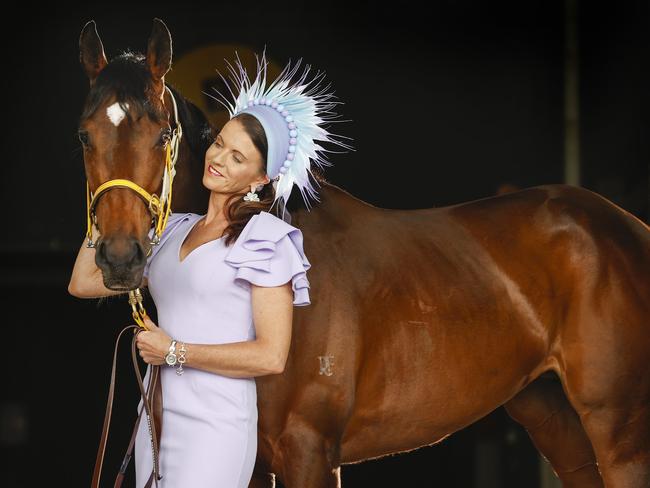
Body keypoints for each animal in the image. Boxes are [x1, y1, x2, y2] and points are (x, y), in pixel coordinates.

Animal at [79, 17, 648, 486]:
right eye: (85, 136)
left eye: (162, 135)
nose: (120, 256)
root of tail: (626, 226)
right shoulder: (259, 464)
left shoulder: (310, 451)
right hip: (553, 417)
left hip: (619, 431)